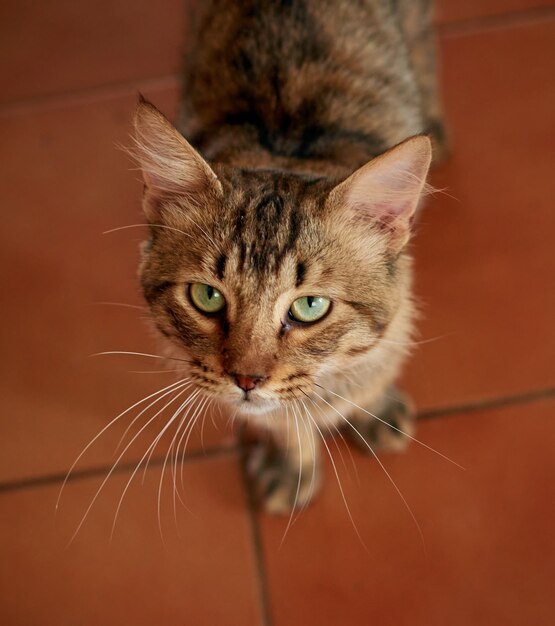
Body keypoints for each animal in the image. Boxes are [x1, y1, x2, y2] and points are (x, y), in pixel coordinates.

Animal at [131, 0, 448, 512]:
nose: (247, 379)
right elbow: (285, 420)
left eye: (310, 306)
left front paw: (373, 407)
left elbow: (375, 363)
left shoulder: (399, 305)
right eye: (206, 297)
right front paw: (294, 466)